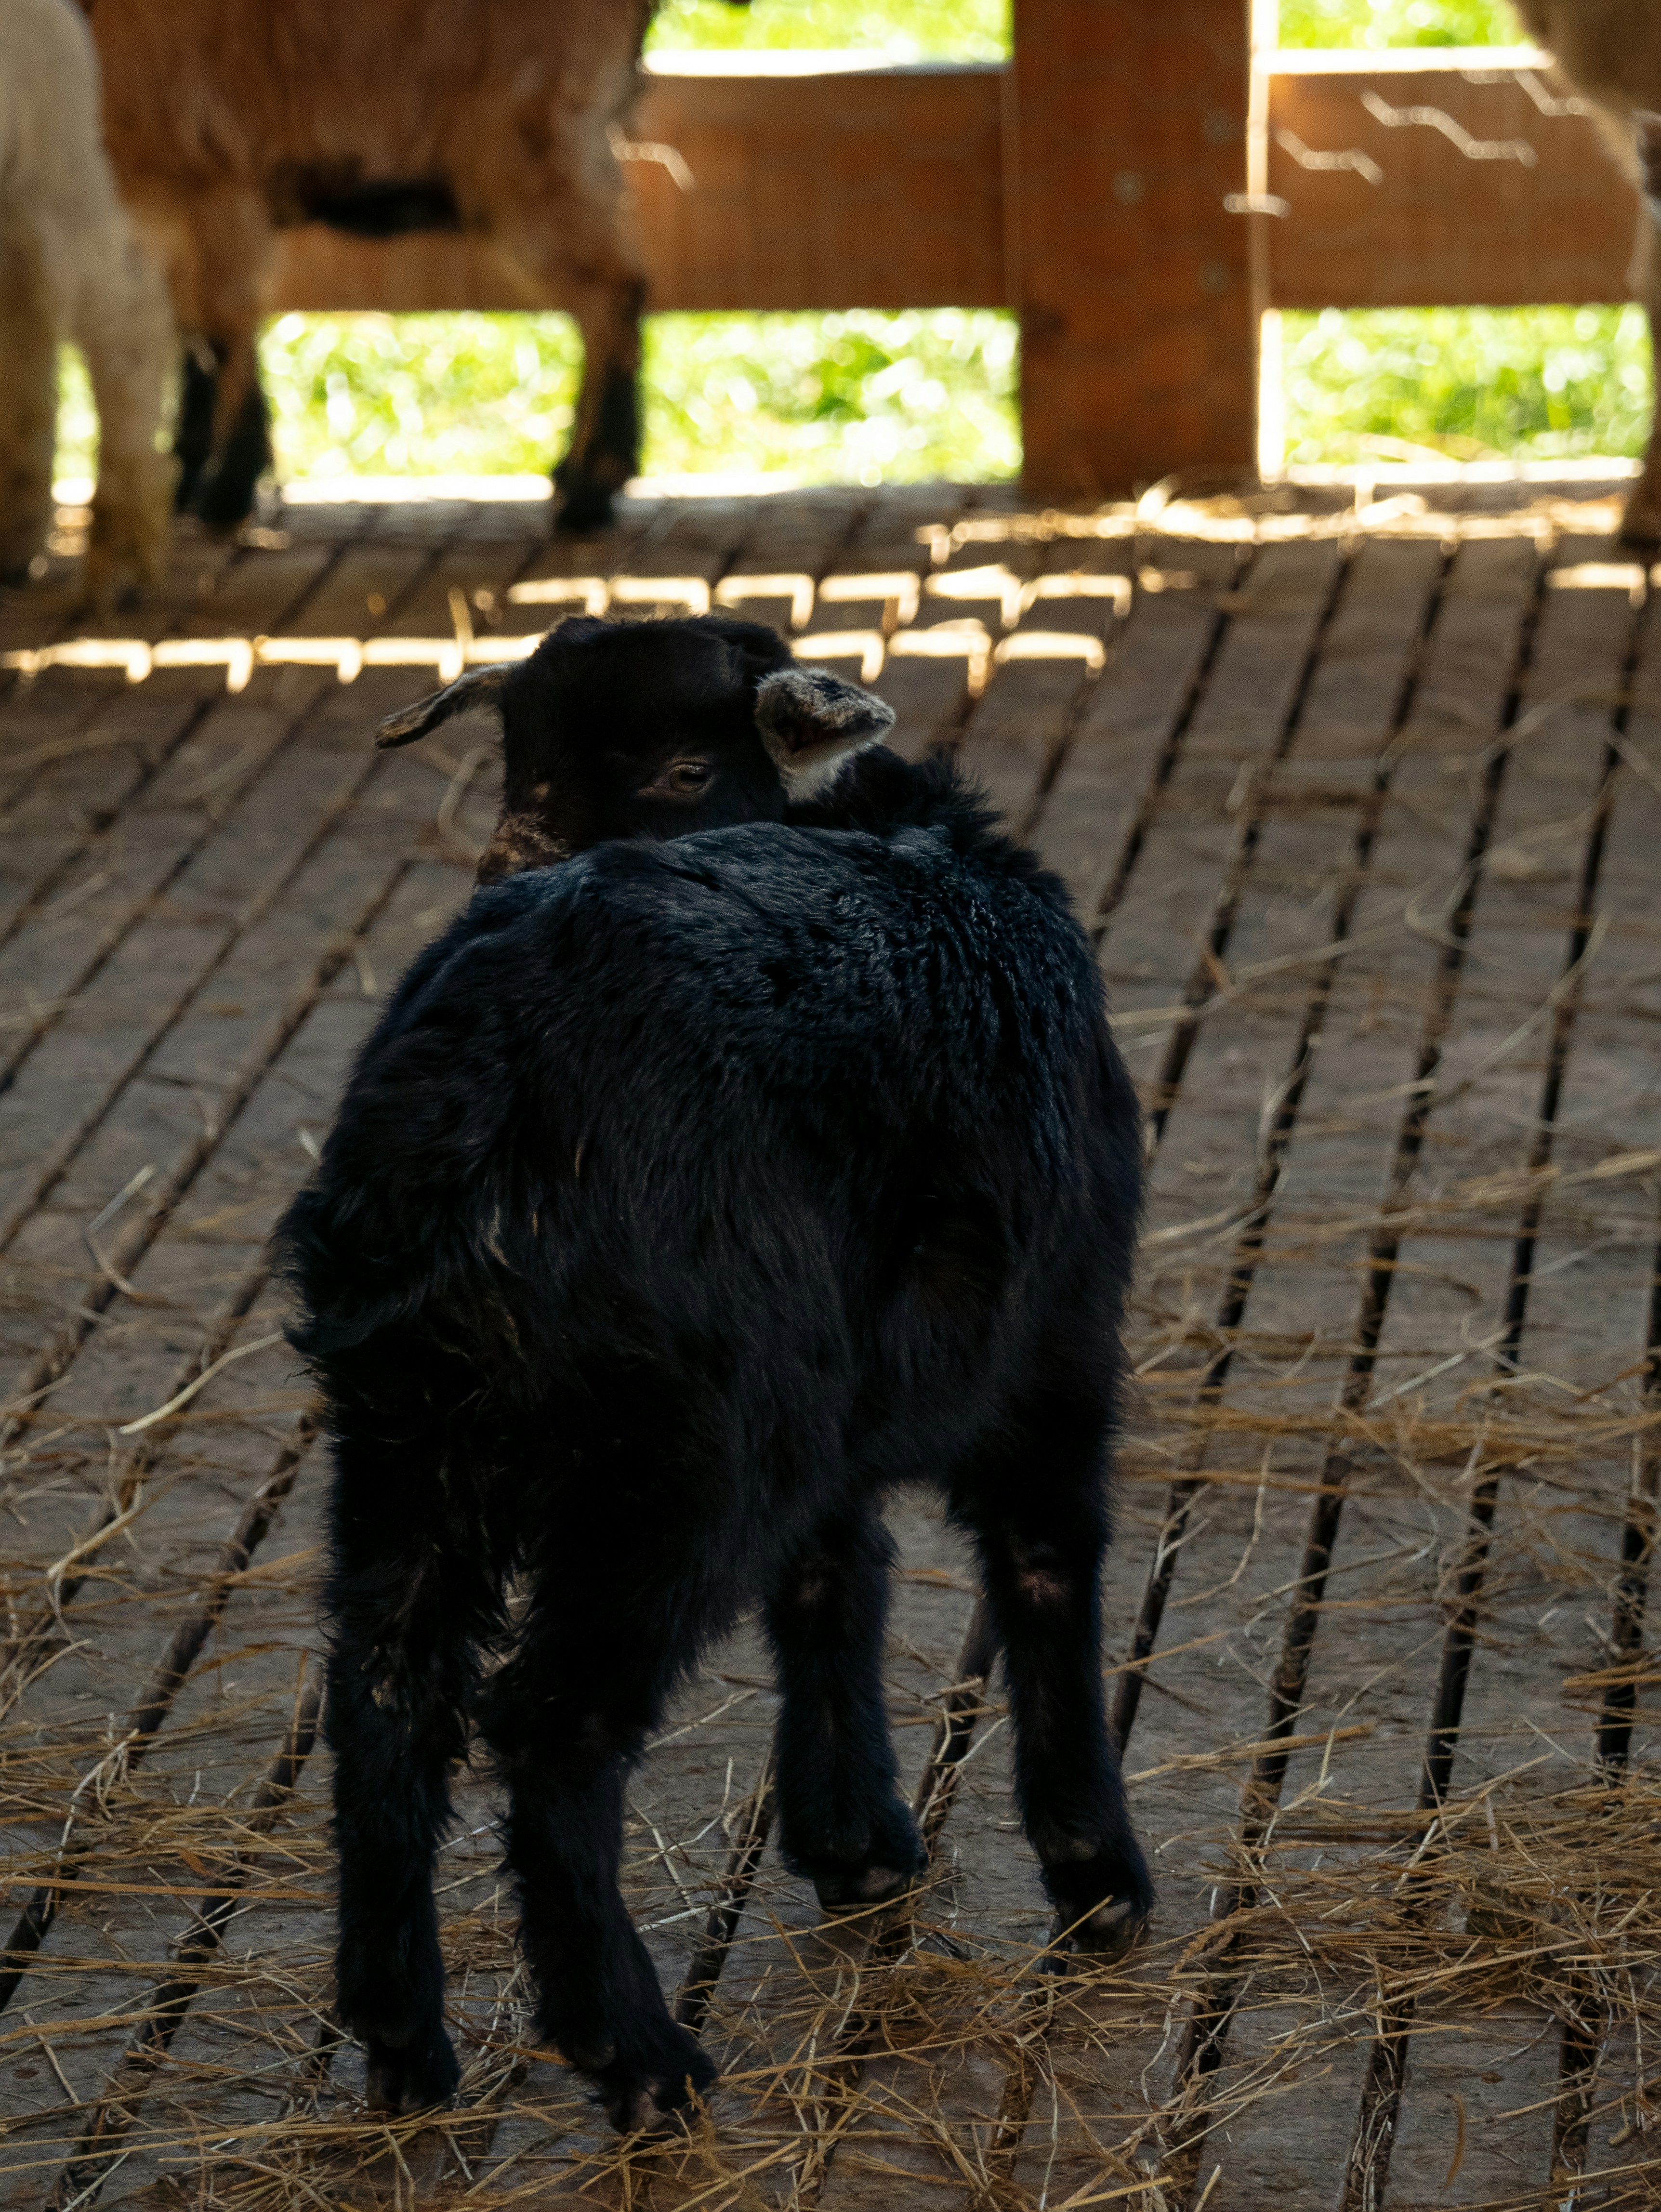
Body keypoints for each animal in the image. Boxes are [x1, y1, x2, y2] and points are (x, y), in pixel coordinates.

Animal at [86, 0, 669, 533]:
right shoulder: (157, 200)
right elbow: (191, 334)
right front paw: (185, 481)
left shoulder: (219, 180)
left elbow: (222, 327)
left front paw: (227, 493)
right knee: (610, 296)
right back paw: (572, 475)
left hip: (531, 144)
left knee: (612, 293)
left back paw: (589, 493)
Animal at [275, 614, 1152, 2133]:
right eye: (512, 757)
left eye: (690, 766)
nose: (508, 865)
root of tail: (471, 1096)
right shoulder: (1055, 1337)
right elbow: (1046, 1568)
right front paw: (1093, 1867)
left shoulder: (836, 1396)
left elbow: (834, 1576)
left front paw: (853, 1836)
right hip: (673, 1457)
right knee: (549, 1728)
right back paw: (634, 2055)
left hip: (412, 1433)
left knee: (385, 1691)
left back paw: (400, 2036)